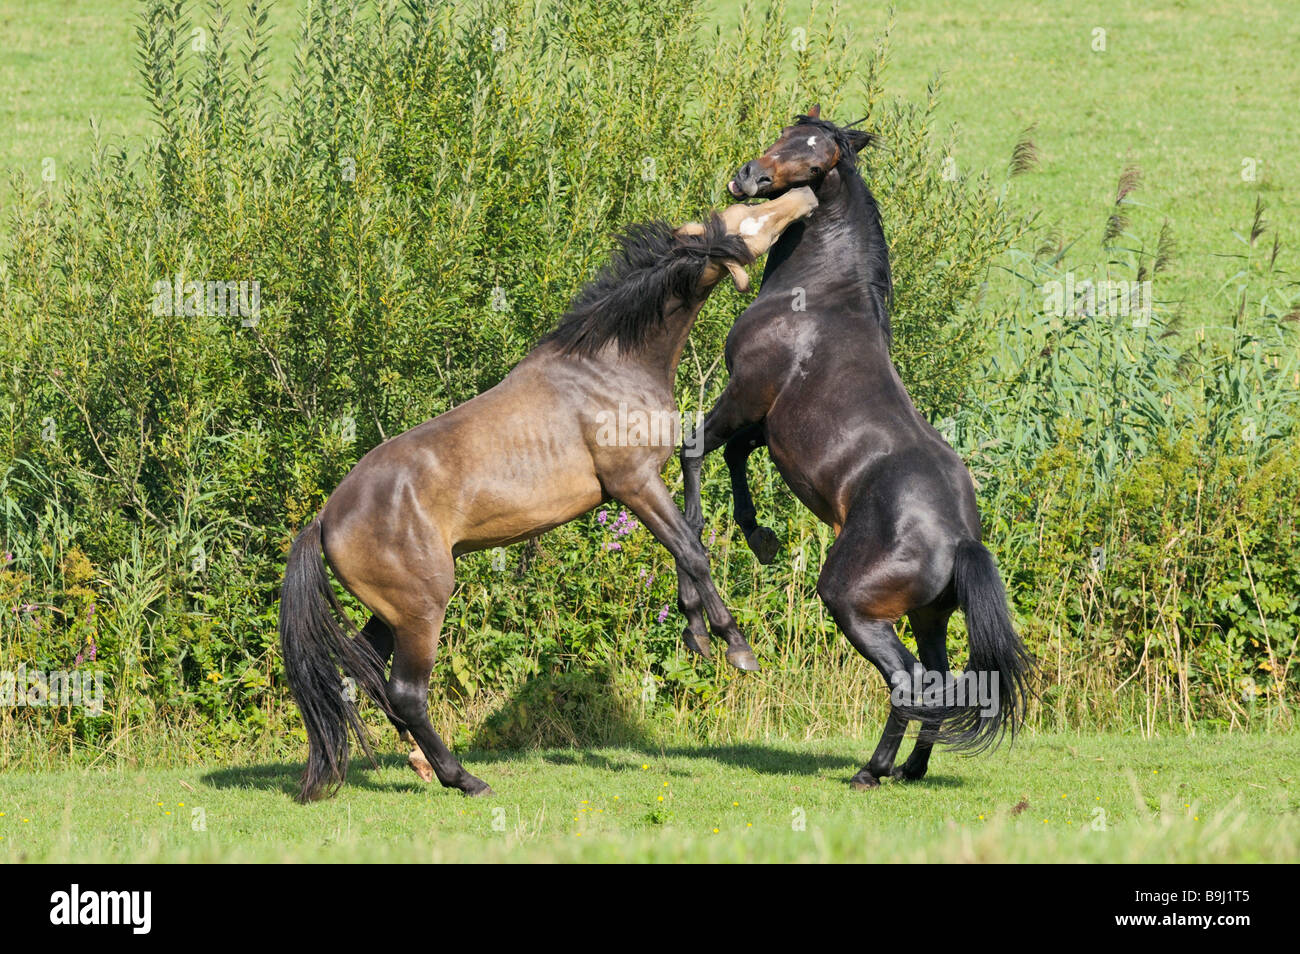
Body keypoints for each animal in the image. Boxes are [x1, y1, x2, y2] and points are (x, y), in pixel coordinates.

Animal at [279, 187, 818, 801]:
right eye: (749, 218)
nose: (805, 196)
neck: (608, 364)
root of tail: (325, 518)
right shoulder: (633, 482)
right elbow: (693, 550)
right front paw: (736, 647)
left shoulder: (648, 480)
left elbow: (688, 540)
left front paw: (697, 636)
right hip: (422, 610)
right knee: (405, 693)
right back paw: (465, 780)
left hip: (391, 612)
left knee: (368, 676)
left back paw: (422, 766)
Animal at [680, 108, 1033, 789]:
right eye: (787, 133)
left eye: (819, 159)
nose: (749, 177)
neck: (819, 295)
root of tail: (960, 539)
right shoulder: (765, 425)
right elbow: (733, 458)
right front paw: (760, 539)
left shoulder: (745, 394)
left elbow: (693, 449)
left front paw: (699, 563)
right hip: (928, 617)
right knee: (938, 678)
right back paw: (911, 769)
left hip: (853, 605)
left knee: (912, 682)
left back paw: (872, 770)